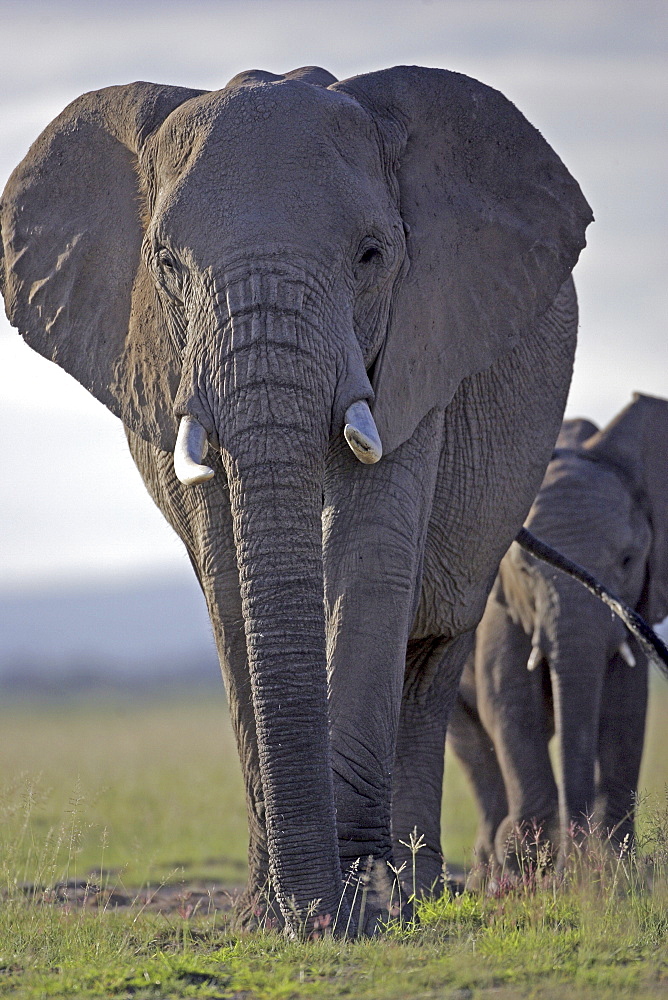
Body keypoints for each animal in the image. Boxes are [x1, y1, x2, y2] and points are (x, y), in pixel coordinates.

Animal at [1, 66, 596, 932]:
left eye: (372, 255)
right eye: (166, 266)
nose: (316, 913)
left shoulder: (422, 337)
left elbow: (372, 553)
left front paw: (362, 908)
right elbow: (228, 579)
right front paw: (276, 917)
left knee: (435, 643)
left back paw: (415, 894)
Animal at [448, 394, 668, 872]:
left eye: (627, 560)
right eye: (526, 567)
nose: (576, 865)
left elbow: (625, 709)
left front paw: (615, 868)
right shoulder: (499, 605)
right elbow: (511, 702)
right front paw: (532, 866)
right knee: (471, 743)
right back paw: (491, 873)